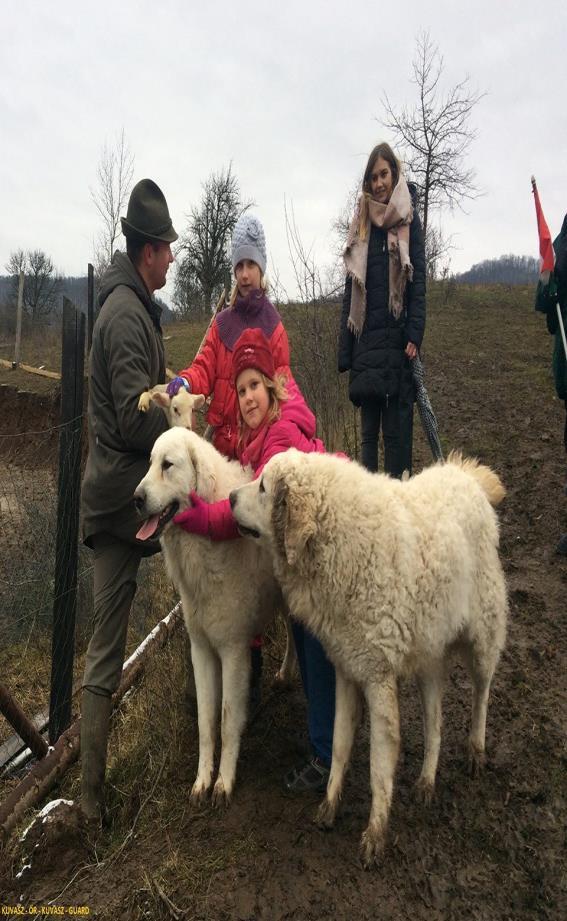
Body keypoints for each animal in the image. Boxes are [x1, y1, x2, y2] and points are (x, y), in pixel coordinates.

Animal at [134, 428, 292, 800]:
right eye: (149, 463)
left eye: (167, 465)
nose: (135, 499)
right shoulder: (202, 650)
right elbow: (206, 723)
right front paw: (202, 780)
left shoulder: (233, 651)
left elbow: (227, 720)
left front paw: (224, 781)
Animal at [231, 450, 510, 868]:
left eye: (263, 486)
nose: (230, 497)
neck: (343, 542)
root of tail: (466, 476)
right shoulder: (348, 669)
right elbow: (340, 742)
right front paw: (330, 804)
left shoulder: (378, 680)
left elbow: (380, 763)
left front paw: (375, 833)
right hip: (429, 656)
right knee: (435, 722)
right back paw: (426, 781)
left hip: (482, 635)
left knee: (482, 692)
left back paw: (475, 749)